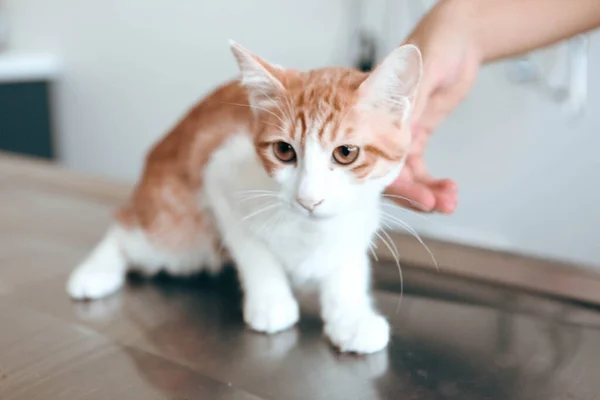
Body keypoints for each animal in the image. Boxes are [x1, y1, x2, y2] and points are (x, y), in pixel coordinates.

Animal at [67, 39, 422, 354]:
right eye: (284, 151)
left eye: (346, 153)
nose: (308, 200)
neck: (310, 230)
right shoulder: (218, 173)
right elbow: (252, 248)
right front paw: (271, 300)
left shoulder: (362, 215)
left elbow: (347, 265)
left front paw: (351, 316)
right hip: (178, 229)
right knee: (128, 229)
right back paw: (94, 273)